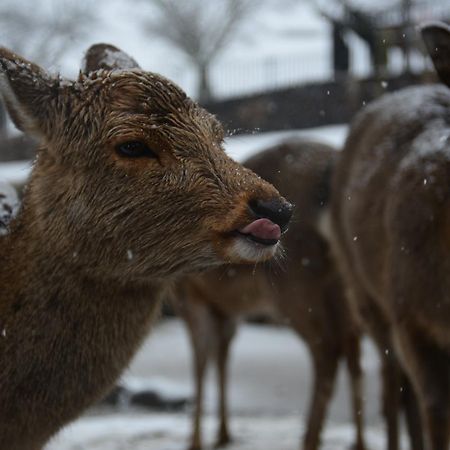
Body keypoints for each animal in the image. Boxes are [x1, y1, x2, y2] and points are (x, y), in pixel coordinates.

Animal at [174, 139, 368, 450]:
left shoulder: (189, 295)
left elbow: (200, 360)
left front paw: (195, 441)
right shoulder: (225, 308)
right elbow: (222, 356)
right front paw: (223, 433)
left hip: (297, 284)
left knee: (328, 350)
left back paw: (310, 438)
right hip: (343, 284)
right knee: (352, 347)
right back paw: (358, 441)